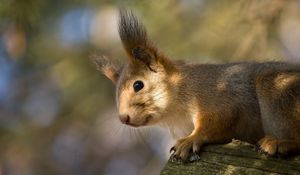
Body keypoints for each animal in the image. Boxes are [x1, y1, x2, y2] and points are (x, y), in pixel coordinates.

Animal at [94, 8, 300, 161]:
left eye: (138, 85)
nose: (123, 118)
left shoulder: (218, 96)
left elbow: (219, 121)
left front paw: (191, 140)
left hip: (278, 90)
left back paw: (280, 143)